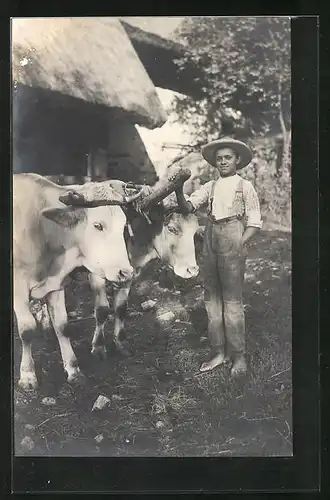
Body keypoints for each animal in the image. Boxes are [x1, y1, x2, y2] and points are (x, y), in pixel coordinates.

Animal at [13, 174, 142, 388]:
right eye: (98, 225)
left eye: (123, 226)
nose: (126, 272)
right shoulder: (17, 287)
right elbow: (27, 330)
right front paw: (28, 374)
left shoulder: (55, 285)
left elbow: (62, 326)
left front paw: (73, 369)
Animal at [59, 167, 199, 356]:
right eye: (172, 228)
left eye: (195, 230)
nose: (192, 270)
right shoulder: (96, 273)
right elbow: (102, 310)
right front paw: (99, 346)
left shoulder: (128, 273)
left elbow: (121, 307)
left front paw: (120, 341)